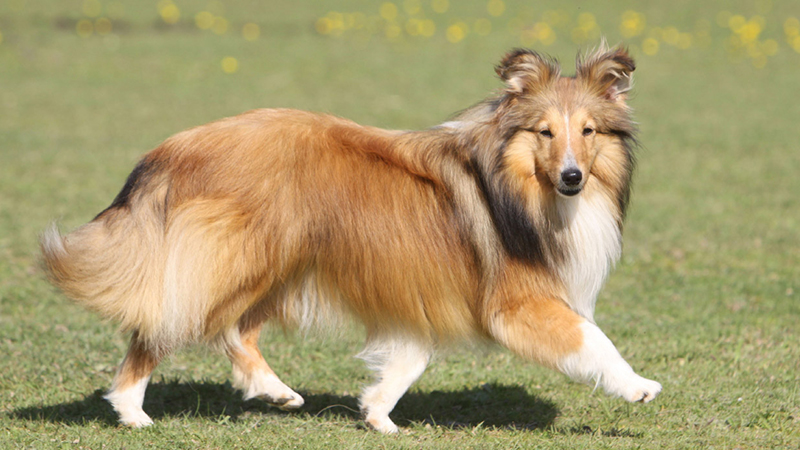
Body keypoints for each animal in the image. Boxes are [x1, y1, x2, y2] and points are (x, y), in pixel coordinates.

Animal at [39, 45, 664, 432]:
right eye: (545, 132)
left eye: (588, 131)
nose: (572, 177)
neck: (518, 185)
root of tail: (175, 147)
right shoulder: (518, 303)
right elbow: (592, 339)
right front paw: (637, 386)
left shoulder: (423, 291)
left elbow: (410, 359)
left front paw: (378, 415)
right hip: (243, 258)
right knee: (173, 325)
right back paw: (132, 411)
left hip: (279, 262)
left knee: (234, 331)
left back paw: (276, 391)